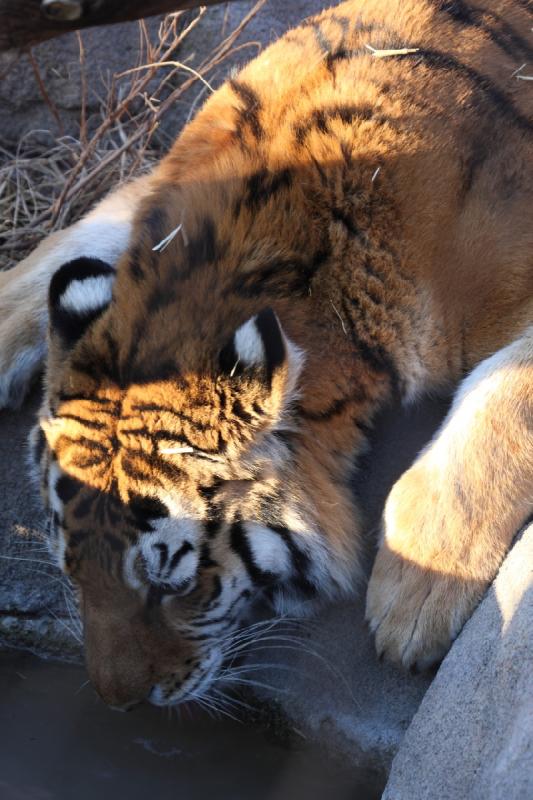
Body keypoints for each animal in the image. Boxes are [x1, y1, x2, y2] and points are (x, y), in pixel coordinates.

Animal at [1, 0, 532, 712]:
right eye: (71, 569)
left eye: (172, 586)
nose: (117, 701)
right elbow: (77, 237)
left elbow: (505, 396)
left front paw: (416, 593)